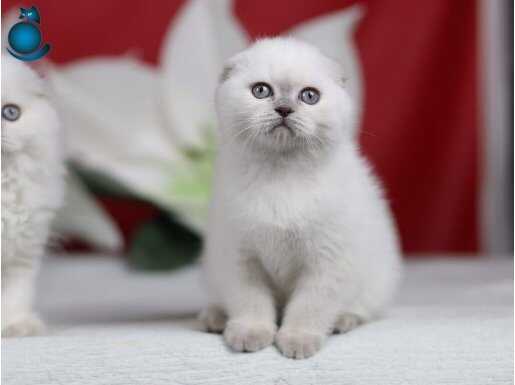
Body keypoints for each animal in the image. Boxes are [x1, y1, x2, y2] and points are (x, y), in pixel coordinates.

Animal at [202, 38, 404, 356]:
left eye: (309, 96)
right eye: (261, 90)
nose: (284, 109)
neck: (281, 176)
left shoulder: (327, 260)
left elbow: (310, 307)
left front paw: (298, 340)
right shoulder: (240, 256)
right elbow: (250, 301)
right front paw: (251, 333)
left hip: (378, 276)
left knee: (363, 307)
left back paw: (343, 320)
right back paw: (214, 317)